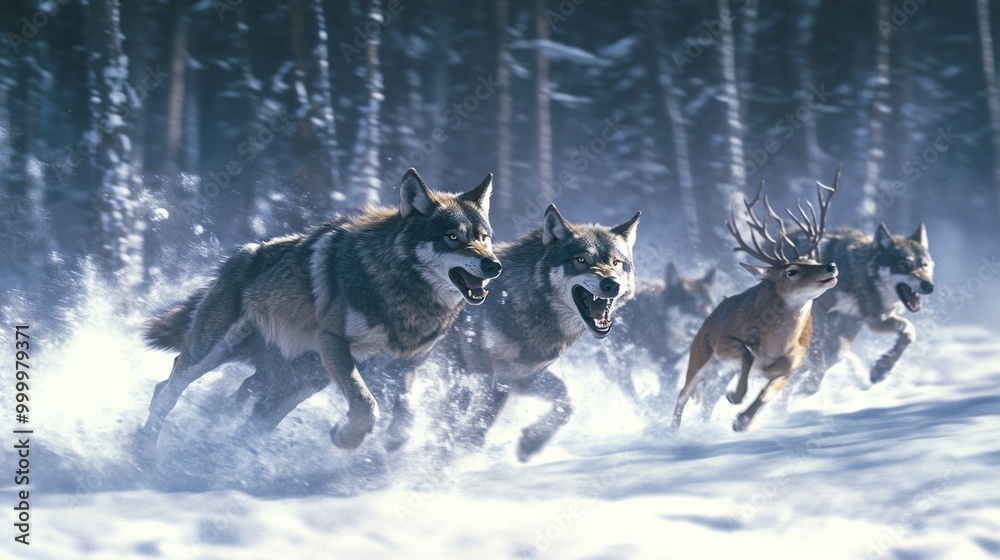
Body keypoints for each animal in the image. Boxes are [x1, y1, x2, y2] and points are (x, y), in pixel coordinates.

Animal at [136, 169, 501, 461]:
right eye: (453, 237)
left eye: (484, 238)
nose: (494, 266)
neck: (406, 295)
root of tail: (240, 255)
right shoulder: (334, 342)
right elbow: (366, 405)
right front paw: (346, 439)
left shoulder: (405, 367)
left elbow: (405, 418)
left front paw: (379, 443)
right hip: (210, 355)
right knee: (166, 392)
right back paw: (144, 455)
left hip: (301, 383)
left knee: (245, 414)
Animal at [437, 204, 640, 462]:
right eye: (581, 260)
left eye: (616, 262)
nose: (611, 284)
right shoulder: (486, 372)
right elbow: (475, 422)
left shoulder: (523, 377)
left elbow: (569, 400)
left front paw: (531, 443)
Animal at [672, 168, 841, 432]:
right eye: (791, 271)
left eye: (814, 260)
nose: (830, 266)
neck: (774, 347)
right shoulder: (723, 341)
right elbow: (747, 353)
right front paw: (735, 396)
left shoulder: (790, 367)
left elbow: (766, 394)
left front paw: (741, 420)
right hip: (700, 351)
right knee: (683, 395)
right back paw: (673, 431)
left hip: (719, 368)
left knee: (707, 396)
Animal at [793, 223, 934, 394]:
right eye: (904, 265)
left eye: (924, 265)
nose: (929, 286)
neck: (859, 275)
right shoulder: (817, 307)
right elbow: (816, 353)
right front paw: (812, 384)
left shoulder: (869, 319)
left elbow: (909, 330)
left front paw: (881, 370)